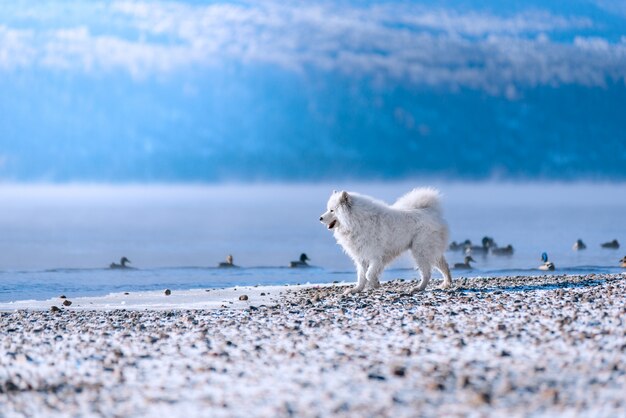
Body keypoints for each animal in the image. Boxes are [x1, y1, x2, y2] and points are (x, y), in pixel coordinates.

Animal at [320, 189, 450, 294]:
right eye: (328, 209)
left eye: (332, 210)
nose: (320, 218)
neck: (356, 221)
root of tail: (431, 211)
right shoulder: (362, 257)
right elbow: (361, 277)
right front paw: (356, 289)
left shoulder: (376, 257)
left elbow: (368, 274)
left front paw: (375, 284)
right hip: (429, 250)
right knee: (444, 265)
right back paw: (447, 283)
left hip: (420, 251)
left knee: (426, 273)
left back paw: (418, 288)